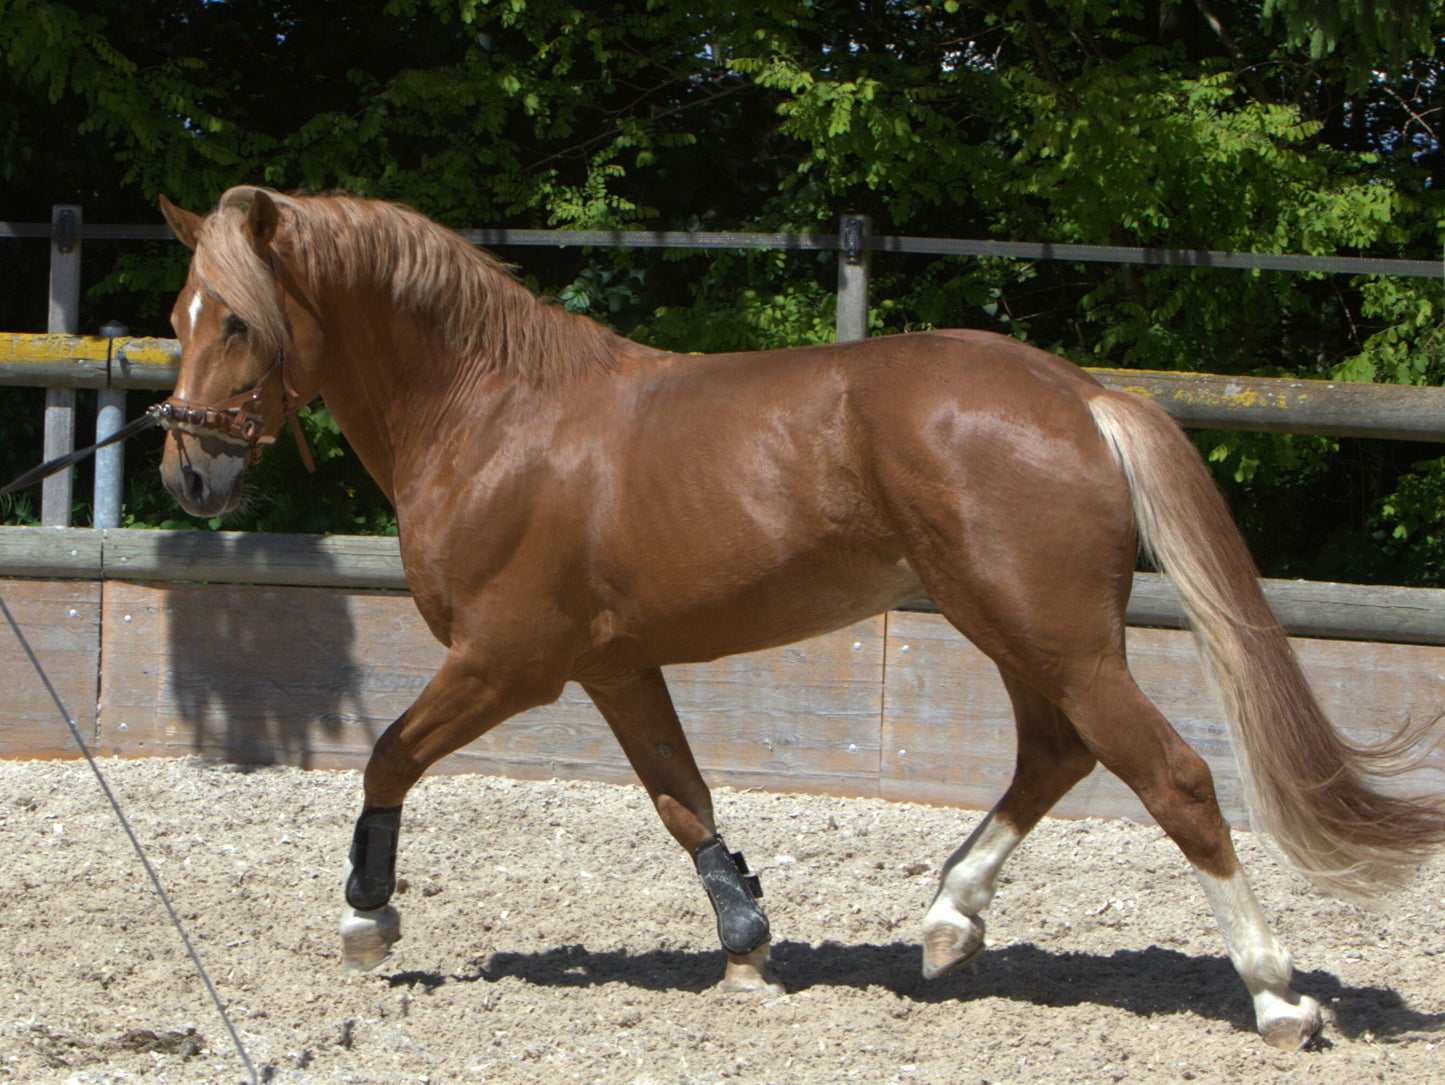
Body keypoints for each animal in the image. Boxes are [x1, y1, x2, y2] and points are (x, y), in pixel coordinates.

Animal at [155, 187, 1445, 1050]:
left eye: (237, 320)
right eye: (179, 311)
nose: (187, 473)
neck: (496, 416)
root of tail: (1078, 393)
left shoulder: (506, 661)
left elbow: (386, 754)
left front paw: (365, 918)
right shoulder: (614, 667)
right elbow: (682, 799)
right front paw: (746, 943)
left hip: (1046, 631)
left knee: (1168, 774)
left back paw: (1276, 993)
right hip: (1014, 628)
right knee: (1055, 752)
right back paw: (947, 920)